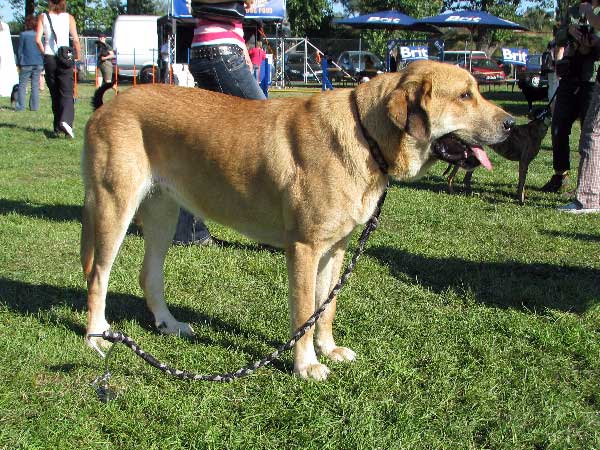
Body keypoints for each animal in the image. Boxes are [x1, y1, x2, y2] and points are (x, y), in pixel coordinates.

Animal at [82, 60, 512, 380]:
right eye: (465, 95)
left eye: (476, 91)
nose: (512, 124)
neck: (367, 135)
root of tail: (109, 103)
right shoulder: (304, 248)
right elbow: (305, 309)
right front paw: (306, 365)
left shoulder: (335, 248)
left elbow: (326, 306)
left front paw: (328, 349)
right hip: (114, 206)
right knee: (98, 275)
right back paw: (96, 336)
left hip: (163, 214)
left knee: (148, 275)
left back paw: (169, 324)